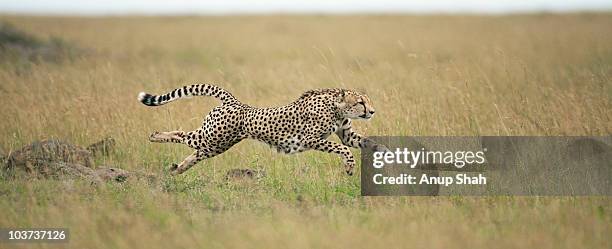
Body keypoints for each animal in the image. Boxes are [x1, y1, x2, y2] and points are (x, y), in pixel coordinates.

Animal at [139, 84, 388, 176]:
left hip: (216, 145)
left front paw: (385, 151)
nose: (372, 111)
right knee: (183, 135)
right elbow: (343, 150)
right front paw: (349, 167)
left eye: (368, 102)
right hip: (212, 137)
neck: (337, 107)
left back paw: (177, 169)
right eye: (360, 103)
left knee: (196, 152)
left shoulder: (347, 135)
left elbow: (364, 142)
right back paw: (155, 135)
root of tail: (234, 101)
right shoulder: (310, 139)